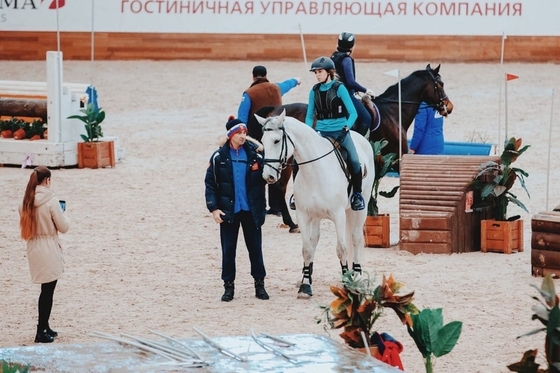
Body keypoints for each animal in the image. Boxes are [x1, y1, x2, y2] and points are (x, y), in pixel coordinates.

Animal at [256, 109, 374, 298]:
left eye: (276, 140)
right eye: (262, 142)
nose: (269, 176)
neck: (315, 170)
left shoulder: (338, 215)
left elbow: (341, 249)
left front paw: (346, 282)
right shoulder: (303, 215)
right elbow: (307, 249)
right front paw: (305, 285)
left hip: (360, 207)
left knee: (356, 238)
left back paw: (356, 276)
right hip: (317, 215)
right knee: (315, 239)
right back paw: (308, 275)